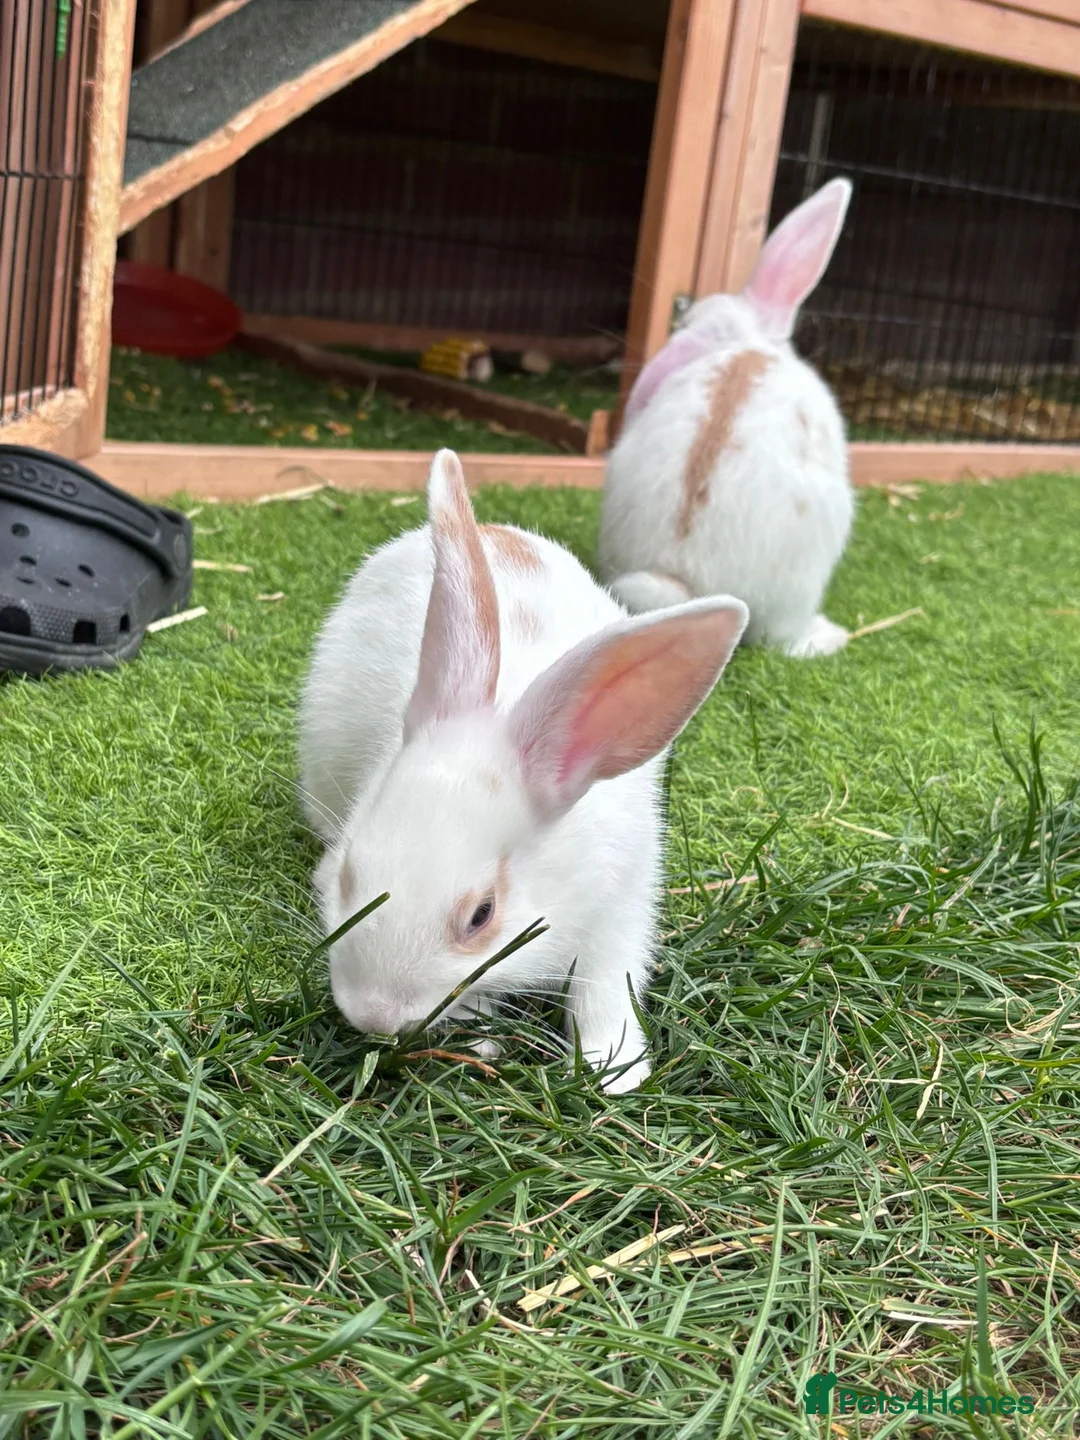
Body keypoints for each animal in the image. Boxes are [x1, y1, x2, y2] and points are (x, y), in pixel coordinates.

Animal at [298, 449, 747, 1093]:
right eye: (349, 875)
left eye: (481, 915)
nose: (371, 1014)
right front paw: (480, 1037)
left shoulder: (624, 903)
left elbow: (607, 984)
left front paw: (613, 1070)